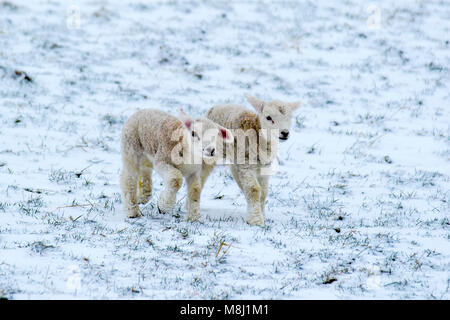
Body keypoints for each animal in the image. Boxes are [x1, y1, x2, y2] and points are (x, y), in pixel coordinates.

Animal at [201, 94, 300, 226]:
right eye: (268, 117)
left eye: (290, 117)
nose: (284, 133)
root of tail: (215, 107)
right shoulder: (245, 165)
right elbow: (254, 190)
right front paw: (256, 220)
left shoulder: (264, 167)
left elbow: (263, 192)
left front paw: (262, 215)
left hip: (234, 161)